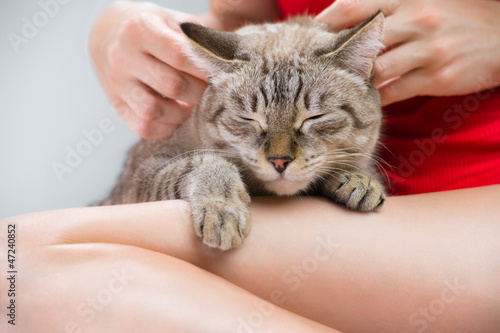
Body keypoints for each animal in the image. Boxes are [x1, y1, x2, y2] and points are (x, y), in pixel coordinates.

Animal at [103, 11, 386, 249]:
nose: (279, 161)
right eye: (248, 119)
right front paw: (222, 208)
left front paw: (360, 179)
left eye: (315, 117)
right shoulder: (143, 173)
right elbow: (203, 162)